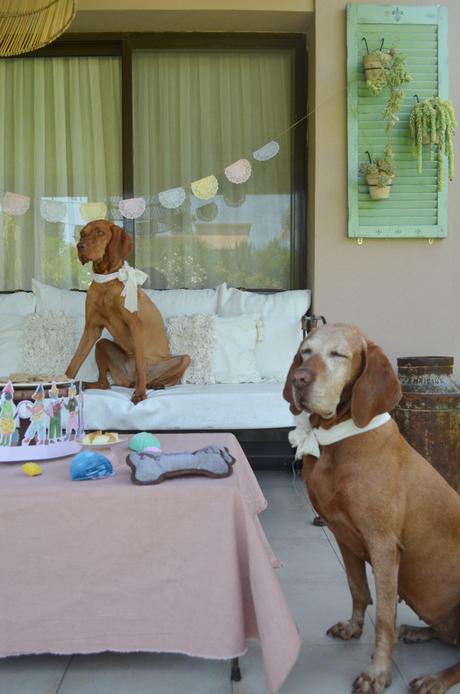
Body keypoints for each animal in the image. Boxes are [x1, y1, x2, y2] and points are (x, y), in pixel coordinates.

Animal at [65, 218, 190, 402]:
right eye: (82, 233)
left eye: (100, 233)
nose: (79, 246)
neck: (107, 282)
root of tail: (128, 380)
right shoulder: (91, 329)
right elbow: (74, 361)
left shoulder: (136, 325)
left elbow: (140, 365)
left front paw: (140, 394)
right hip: (101, 345)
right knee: (105, 383)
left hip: (184, 359)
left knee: (167, 377)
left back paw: (156, 384)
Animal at [282, 324, 460, 694]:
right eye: (305, 351)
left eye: (339, 354)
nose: (299, 379)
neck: (336, 439)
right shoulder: (343, 535)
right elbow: (357, 589)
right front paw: (352, 627)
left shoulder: (383, 546)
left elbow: (385, 618)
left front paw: (377, 672)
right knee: (448, 635)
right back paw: (418, 632)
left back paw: (435, 678)